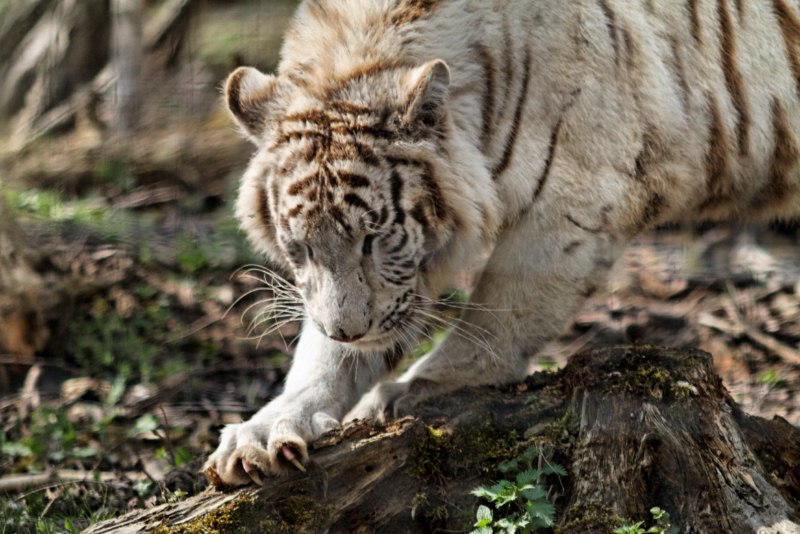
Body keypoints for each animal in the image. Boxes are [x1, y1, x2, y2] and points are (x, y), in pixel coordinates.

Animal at [203, 0, 800, 488]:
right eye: (300, 248)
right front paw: (266, 431)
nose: (348, 329)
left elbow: (497, 317)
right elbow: (328, 355)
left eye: (373, 238)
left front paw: (411, 392)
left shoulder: (576, 205)